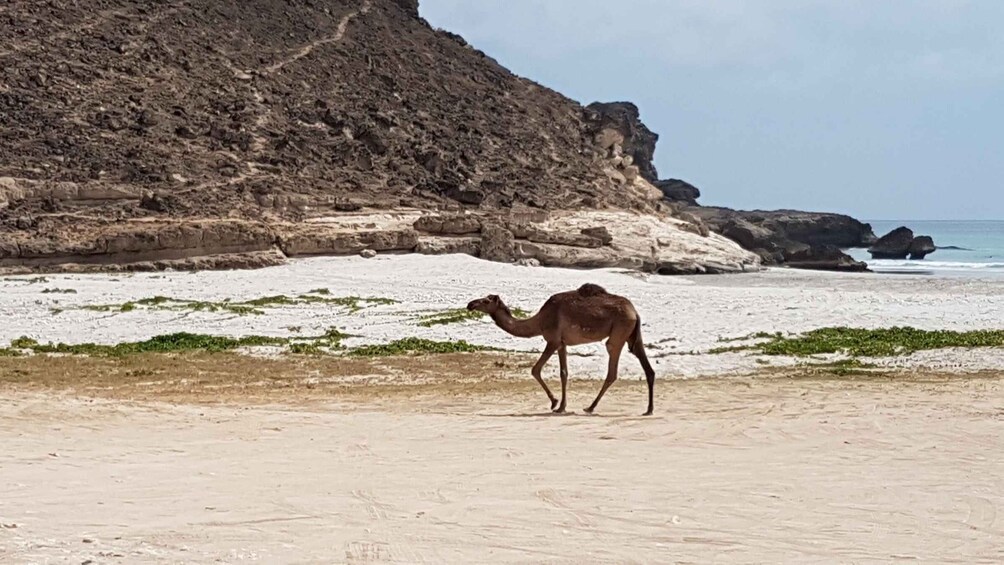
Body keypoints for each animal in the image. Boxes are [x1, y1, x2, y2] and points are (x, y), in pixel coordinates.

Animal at [467, 283, 656, 415]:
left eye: (486, 300)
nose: (470, 304)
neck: (539, 321)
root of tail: (635, 312)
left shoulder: (553, 340)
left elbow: (535, 369)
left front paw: (554, 402)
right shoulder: (562, 344)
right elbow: (564, 373)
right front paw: (562, 407)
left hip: (618, 333)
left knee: (612, 370)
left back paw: (590, 407)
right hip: (631, 335)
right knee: (647, 367)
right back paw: (648, 409)